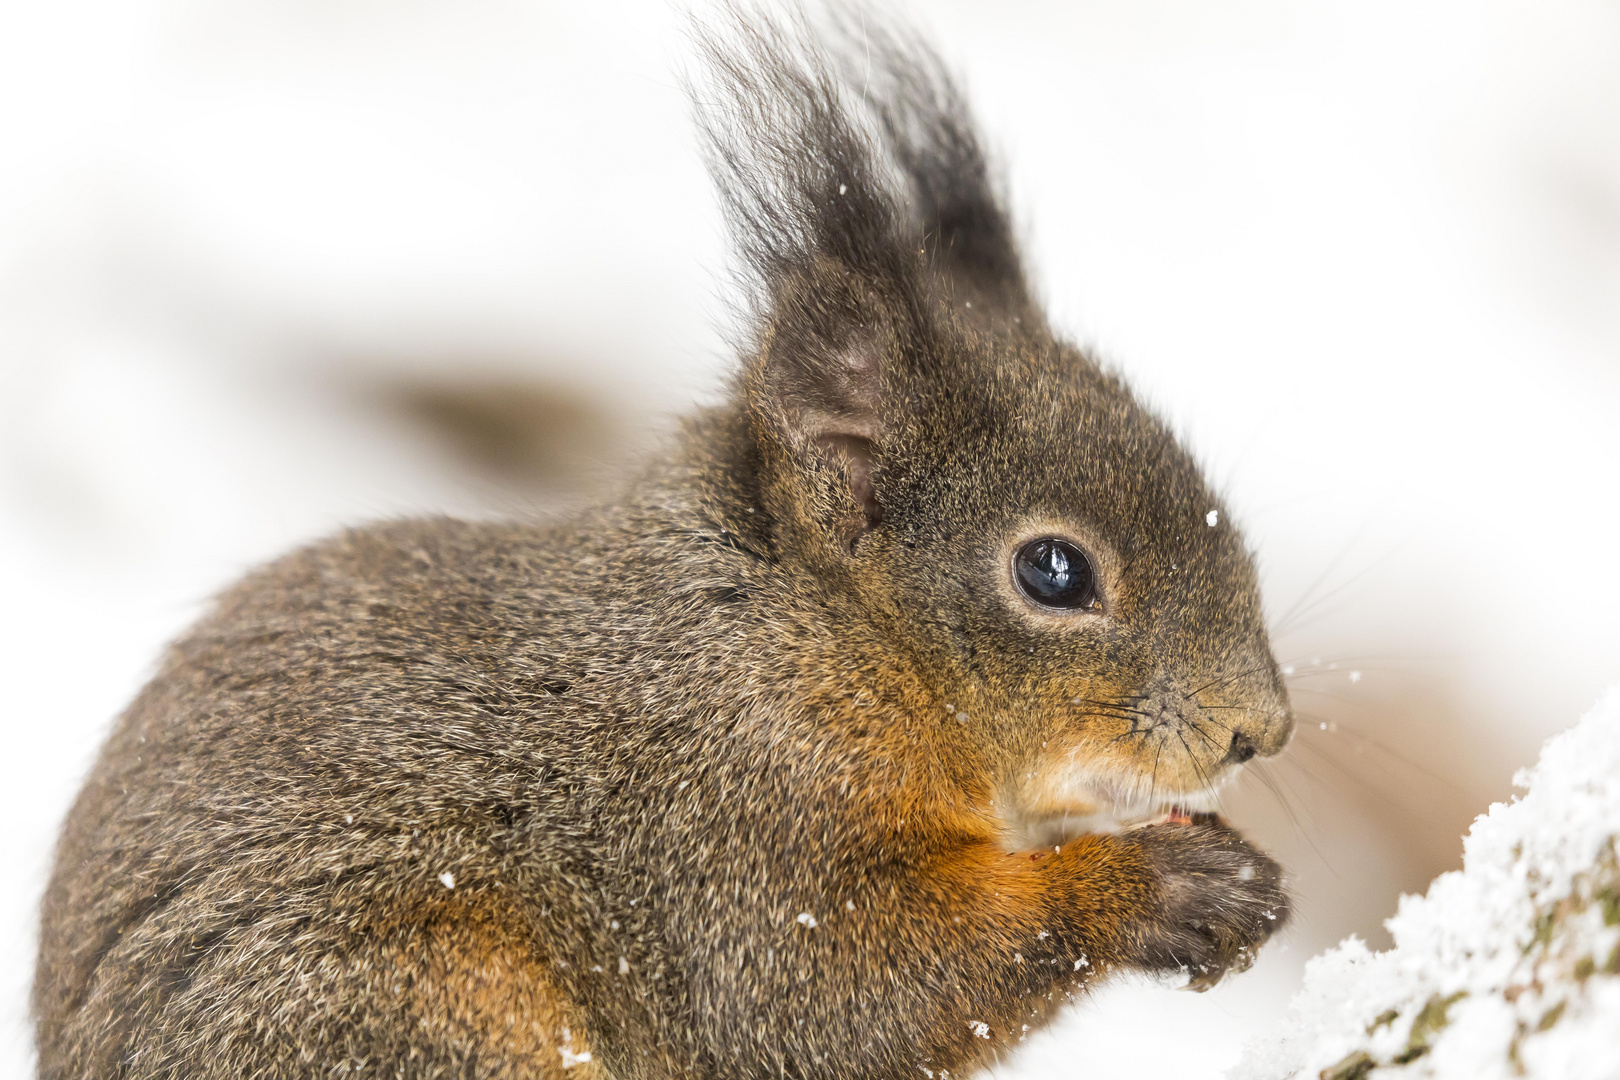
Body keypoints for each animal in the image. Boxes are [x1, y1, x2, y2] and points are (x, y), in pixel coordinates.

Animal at [34, 8, 1289, 1080]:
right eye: (1052, 572)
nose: (1258, 731)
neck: (814, 638)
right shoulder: (728, 830)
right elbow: (838, 994)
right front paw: (1168, 887)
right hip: (402, 1010)